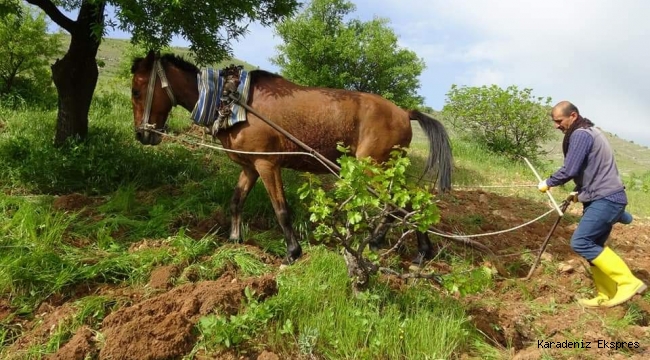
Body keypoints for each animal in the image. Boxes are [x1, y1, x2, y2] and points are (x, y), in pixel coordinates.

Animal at [128, 50, 448, 262]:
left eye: (136, 90)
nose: (142, 135)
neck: (231, 101)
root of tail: (404, 112)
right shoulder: (250, 167)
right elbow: (235, 201)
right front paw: (235, 239)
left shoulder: (267, 164)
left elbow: (281, 210)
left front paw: (293, 252)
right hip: (387, 169)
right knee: (409, 203)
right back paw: (417, 250)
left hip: (374, 169)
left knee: (395, 205)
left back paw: (389, 244)